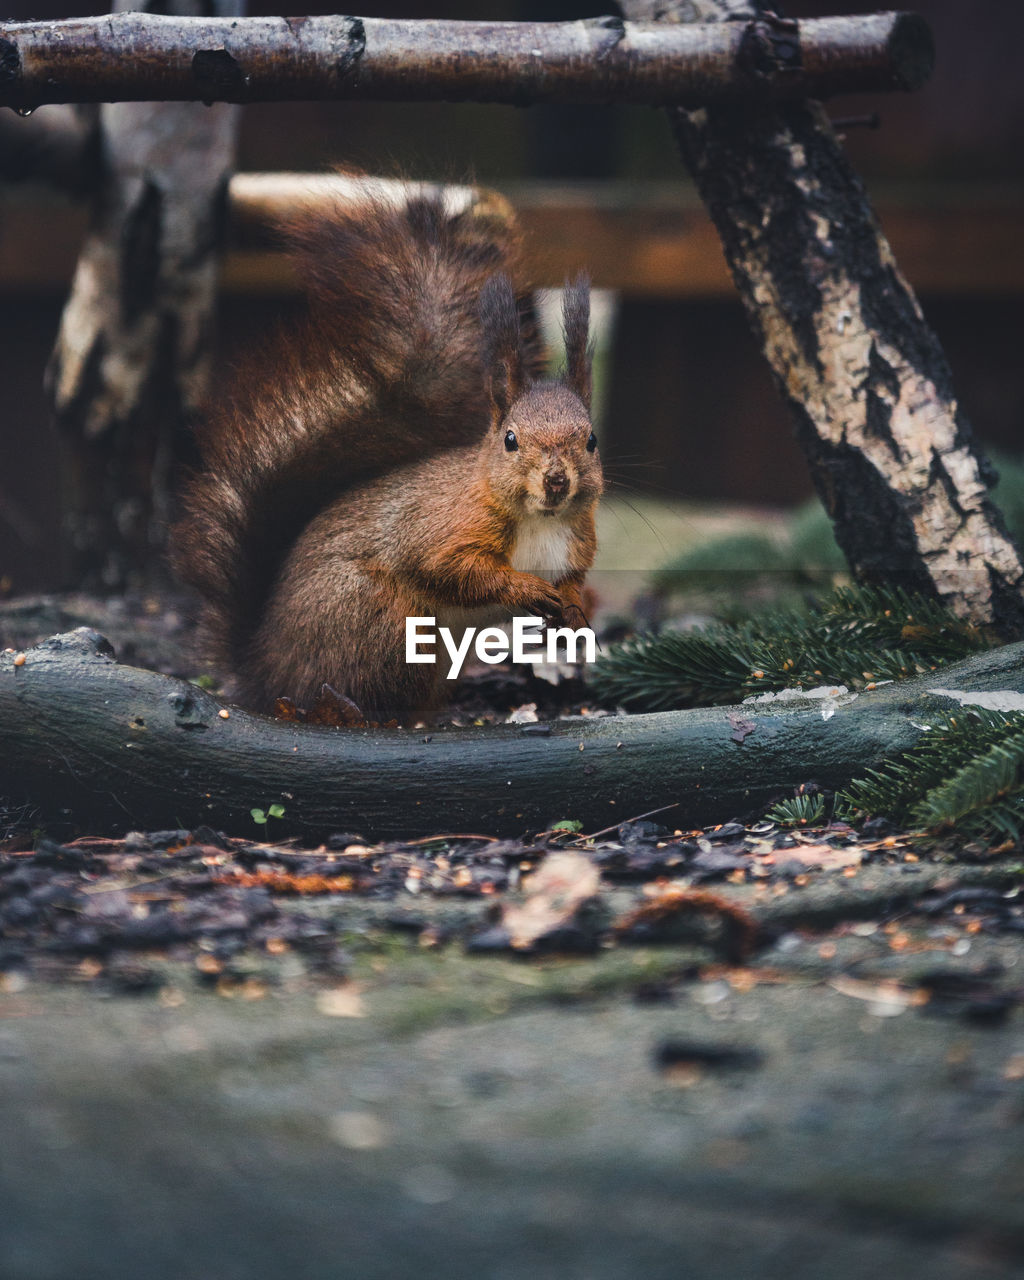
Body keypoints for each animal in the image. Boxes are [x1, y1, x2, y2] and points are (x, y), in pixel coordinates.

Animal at [167, 180, 599, 727]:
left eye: (592, 440)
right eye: (510, 439)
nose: (557, 481)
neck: (541, 521)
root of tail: (266, 672)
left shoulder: (576, 545)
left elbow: (572, 582)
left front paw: (574, 612)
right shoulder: (441, 528)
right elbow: (454, 569)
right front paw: (527, 590)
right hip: (387, 623)